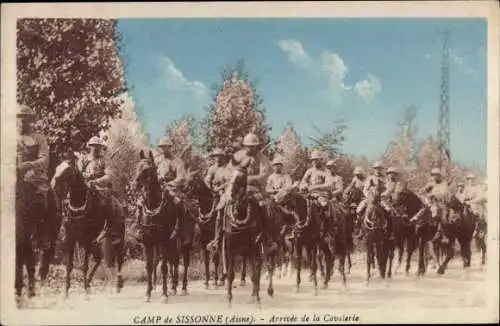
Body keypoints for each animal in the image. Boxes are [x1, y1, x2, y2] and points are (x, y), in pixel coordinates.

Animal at [51, 154, 126, 300]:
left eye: (67, 171)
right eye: (57, 168)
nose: (53, 185)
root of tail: (119, 206)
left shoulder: (87, 239)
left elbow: (84, 266)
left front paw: (85, 292)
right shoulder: (71, 238)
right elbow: (69, 266)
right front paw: (66, 293)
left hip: (115, 239)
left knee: (119, 259)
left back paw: (117, 285)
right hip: (97, 243)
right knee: (99, 259)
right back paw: (90, 282)